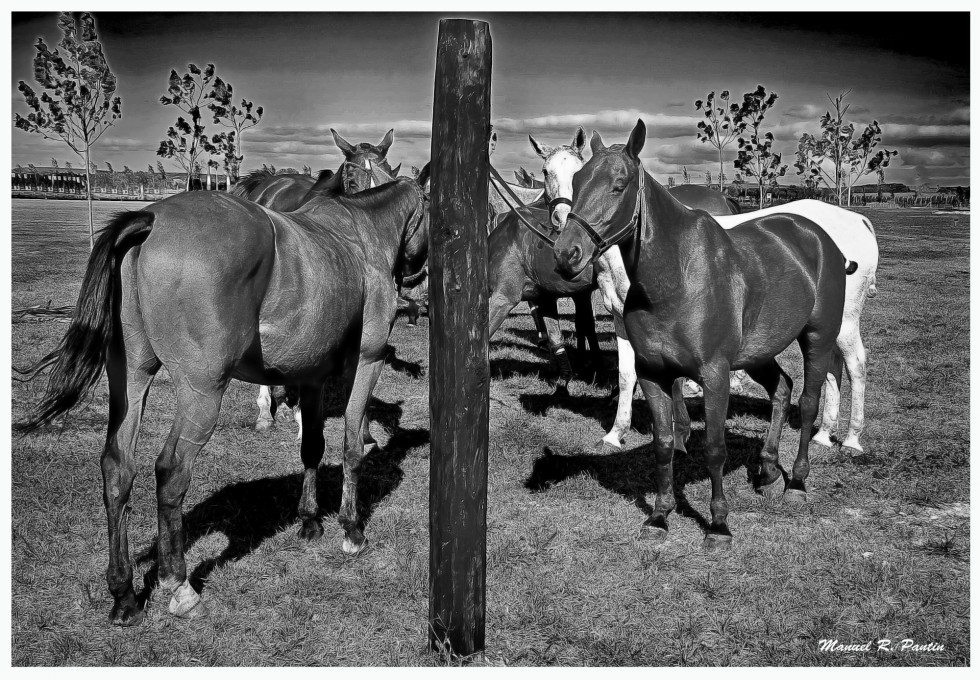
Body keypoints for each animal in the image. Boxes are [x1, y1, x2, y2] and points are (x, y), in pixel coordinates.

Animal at [17, 166, 430, 628]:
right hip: (202, 393)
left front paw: (309, 521)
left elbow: (311, 447)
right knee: (170, 471)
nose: (416, 273)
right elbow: (352, 448)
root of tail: (150, 218)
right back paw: (178, 586)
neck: (358, 233)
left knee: (117, 468)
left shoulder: (311, 376)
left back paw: (124, 594)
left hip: (132, 378)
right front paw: (351, 528)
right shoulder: (368, 360)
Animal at [536, 127, 880, 456]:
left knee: (855, 364)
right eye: (547, 172)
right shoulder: (625, 323)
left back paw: (852, 438)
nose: (565, 244)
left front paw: (679, 433)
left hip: (843, 320)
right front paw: (617, 433)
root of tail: (856, 219)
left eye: (618, 185)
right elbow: (627, 375)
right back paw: (824, 433)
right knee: (832, 367)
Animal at [556, 119, 852, 548]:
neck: (676, 276)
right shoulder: (653, 374)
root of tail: (817, 238)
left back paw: (796, 482)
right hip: (759, 352)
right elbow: (664, 445)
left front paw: (719, 524)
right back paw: (768, 469)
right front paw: (660, 516)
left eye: (619, 184)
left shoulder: (714, 375)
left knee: (809, 402)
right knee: (782, 388)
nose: (566, 254)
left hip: (818, 337)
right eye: (577, 181)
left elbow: (714, 448)